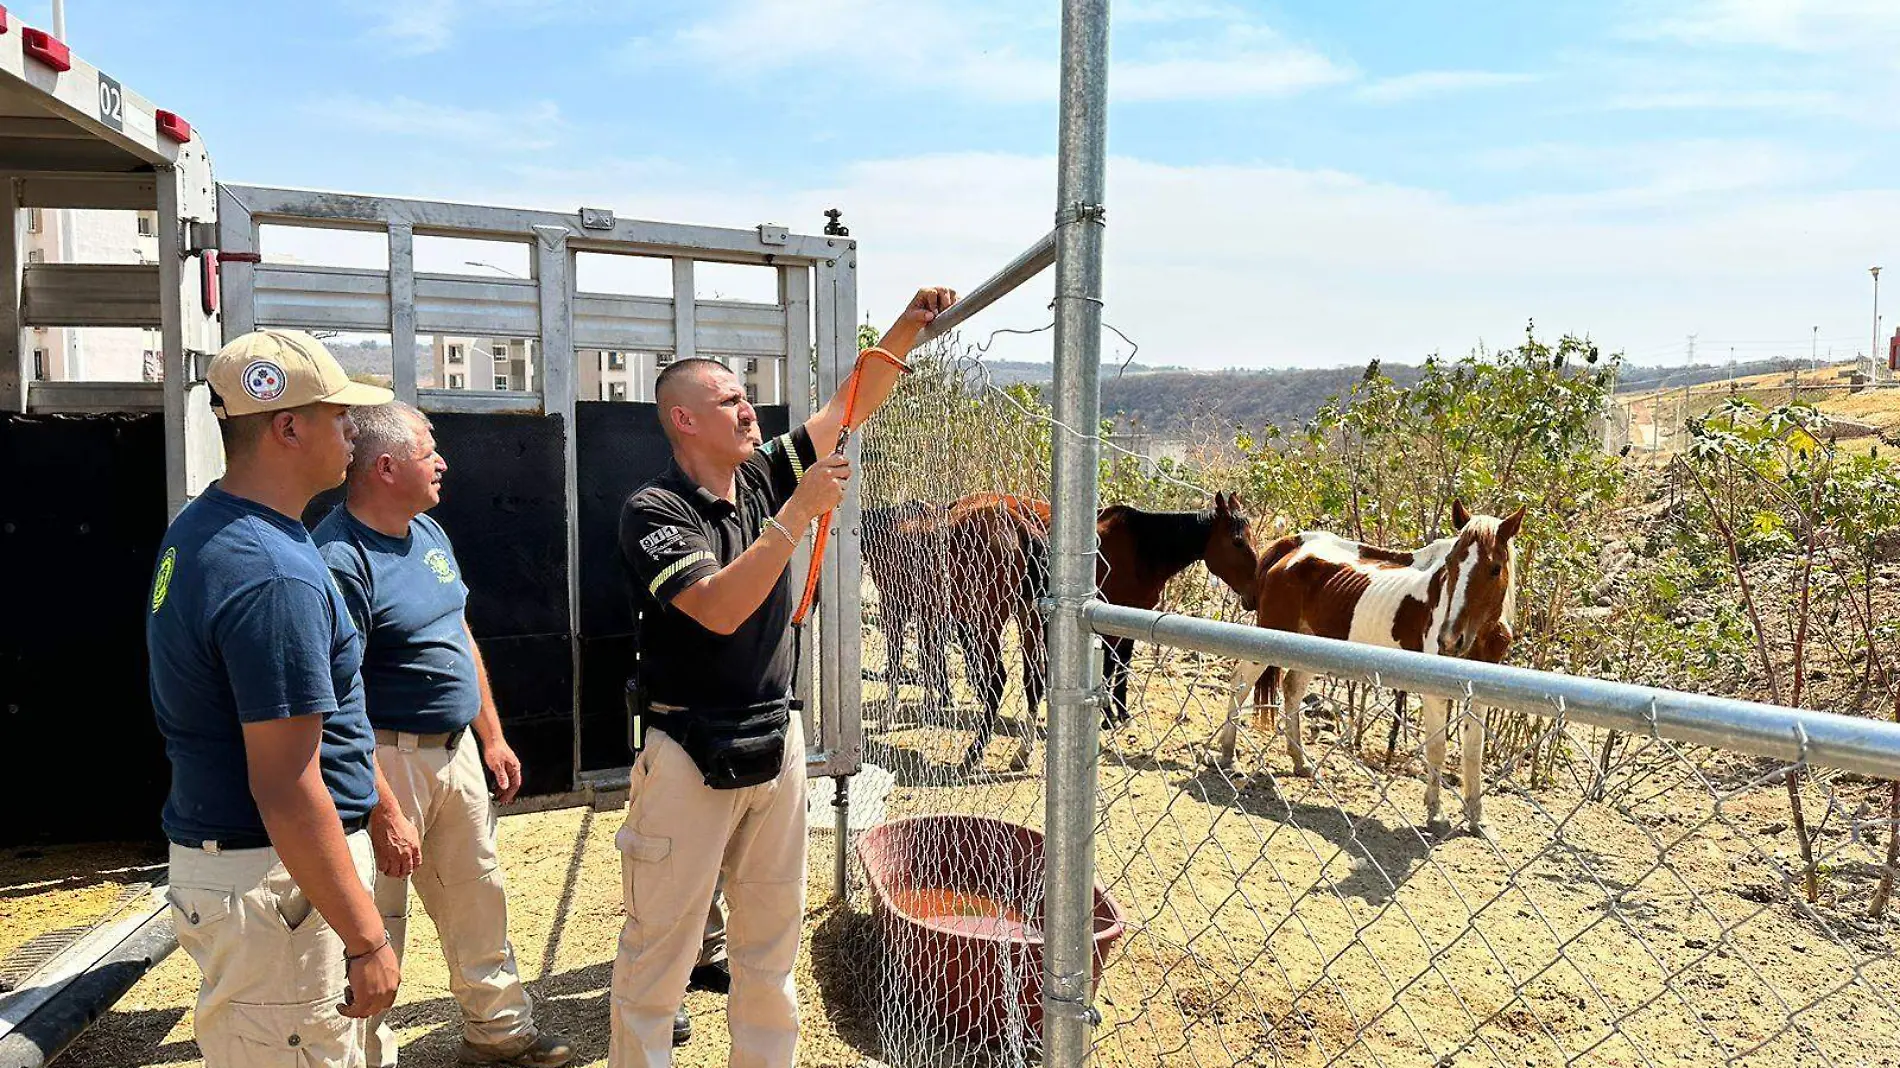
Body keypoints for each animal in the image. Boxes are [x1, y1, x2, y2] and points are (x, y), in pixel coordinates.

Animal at [1208, 497, 1520, 832]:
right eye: (1450, 564)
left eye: (1495, 568)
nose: (1449, 641)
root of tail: (1295, 545)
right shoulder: (1435, 691)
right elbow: (1437, 747)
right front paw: (1436, 813)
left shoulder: (1482, 693)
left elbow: (1473, 749)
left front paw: (1477, 818)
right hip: (1269, 640)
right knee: (1240, 681)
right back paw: (1229, 756)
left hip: (1310, 646)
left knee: (1291, 689)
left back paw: (1301, 762)